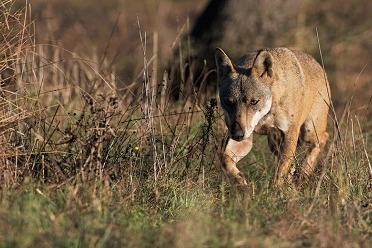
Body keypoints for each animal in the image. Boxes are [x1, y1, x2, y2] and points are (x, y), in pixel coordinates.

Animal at [215, 47, 332, 186]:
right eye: (228, 102)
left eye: (254, 101)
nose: (237, 134)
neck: (265, 116)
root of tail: (318, 65)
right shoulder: (246, 137)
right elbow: (224, 159)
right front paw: (241, 182)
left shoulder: (290, 134)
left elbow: (279, 172)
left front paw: (275, 190)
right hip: (274, 143)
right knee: (291, 164)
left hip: (308, 133)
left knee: (323, 138)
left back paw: (303, 174)